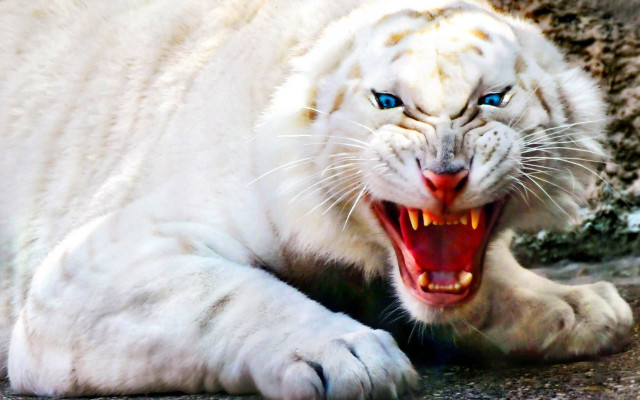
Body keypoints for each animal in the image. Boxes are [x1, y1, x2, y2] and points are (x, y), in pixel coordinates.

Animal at [0, 0, 633, 398]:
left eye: (493, 98)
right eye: (388, 101)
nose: (445, 176)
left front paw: (577, 307)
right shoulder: (91, 266)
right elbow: (223, 295)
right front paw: (350, 358)